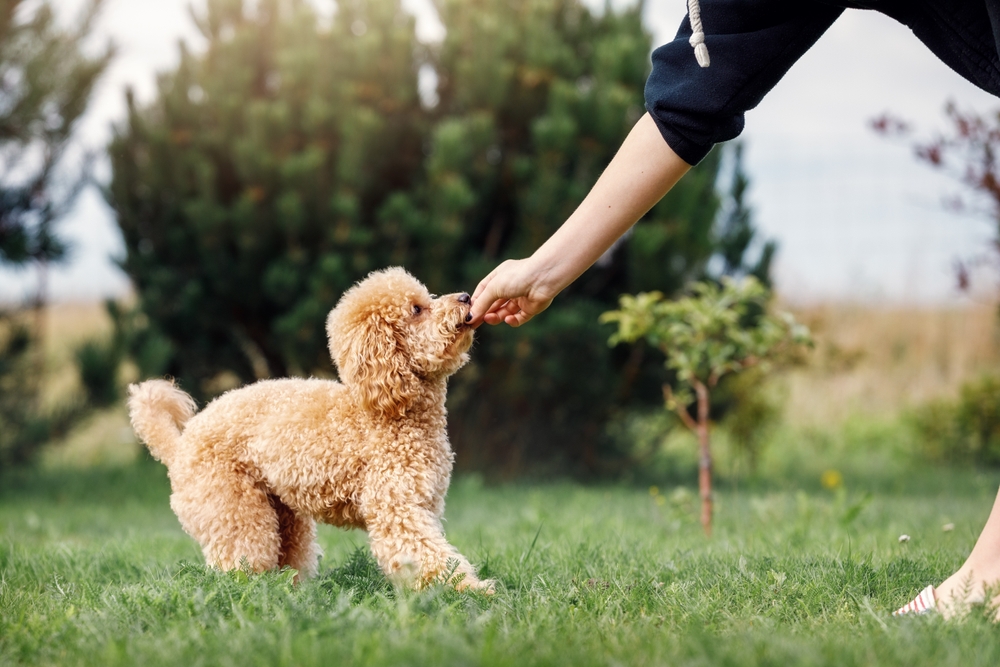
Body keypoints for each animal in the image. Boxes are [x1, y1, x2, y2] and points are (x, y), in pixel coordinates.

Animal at [127, 266, 494, 588]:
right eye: (417, 309)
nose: (465, 297)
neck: (386, 412)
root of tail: (180, 445)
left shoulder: (422, 504)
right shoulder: (396, 506)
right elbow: (423, 552)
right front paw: (467, 590)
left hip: (283, 513)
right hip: (232, 507)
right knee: (241, 560)